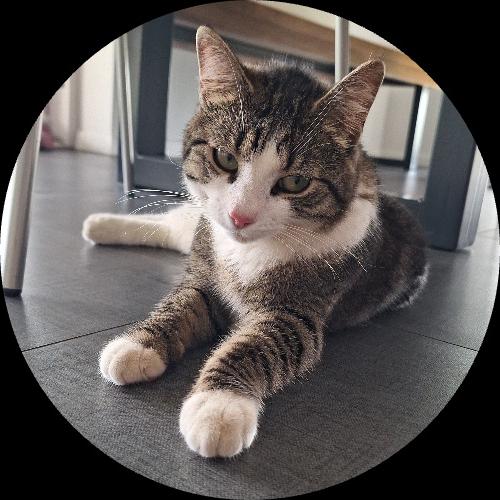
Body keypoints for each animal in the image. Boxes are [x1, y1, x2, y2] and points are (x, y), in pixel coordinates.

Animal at [82, 26, 428, 458]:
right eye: (226, 158)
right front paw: (138, 345)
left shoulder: (297, 313)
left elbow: (254, 346)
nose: (239, 216)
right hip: (199, 223)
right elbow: (181, 303)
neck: (247, 250)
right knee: (172, 222)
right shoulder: (205, 272)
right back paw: (98, 224)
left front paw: (217, 409)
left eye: (295, 181)